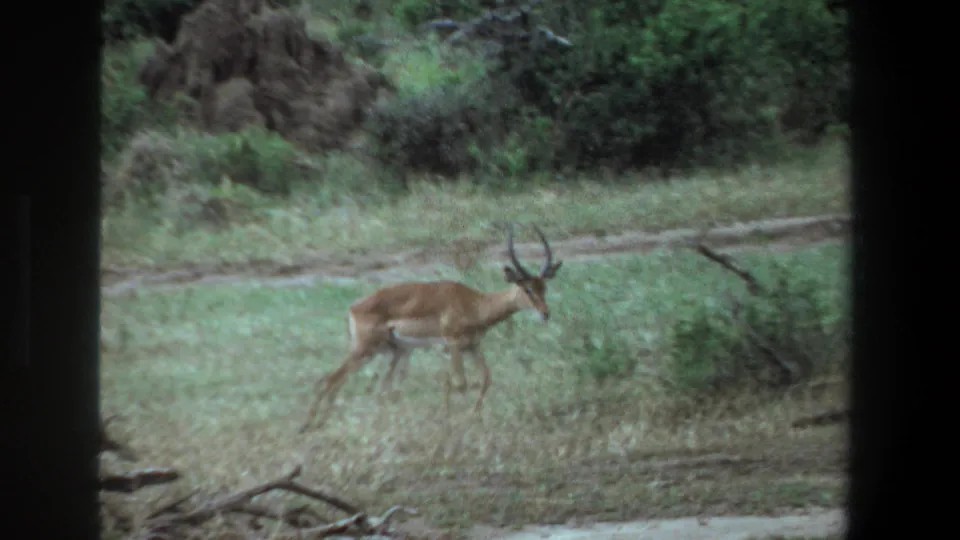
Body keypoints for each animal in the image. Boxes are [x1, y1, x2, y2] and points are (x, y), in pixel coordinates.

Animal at [299, 224, 563, 432]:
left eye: (544, 287)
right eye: (527, 289)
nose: (545, 313)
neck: (475, 304)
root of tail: (353, 307)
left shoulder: (472, 346)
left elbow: (484, 379)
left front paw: (471, 416)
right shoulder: (453, 344)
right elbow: (460, 383)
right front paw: (451, 418)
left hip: (393, 351)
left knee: (378, 388)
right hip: (365, 349)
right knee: (331, 379)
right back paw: (309, 425)